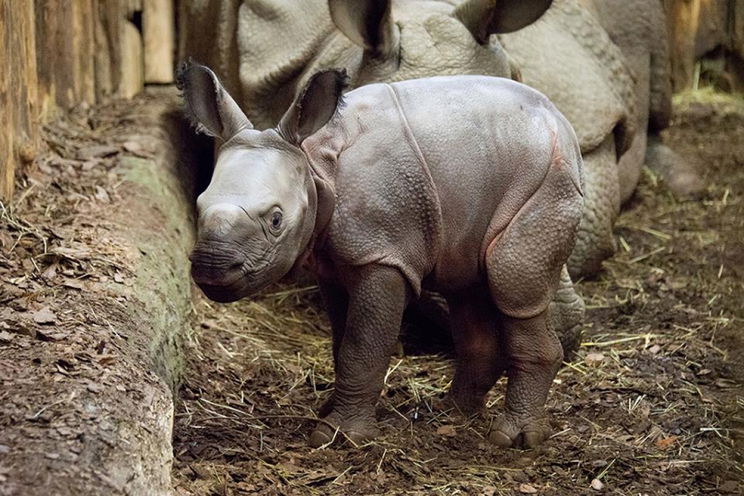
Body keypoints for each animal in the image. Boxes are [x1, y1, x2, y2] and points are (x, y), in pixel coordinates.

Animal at [179, 63, 580, 450]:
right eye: (198, 204)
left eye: (276, 219)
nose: (211, 266)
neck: (314, 164)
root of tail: (561, 120)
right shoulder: (336, 260)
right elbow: (341, 341)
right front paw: (329, 410)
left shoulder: (382, 253)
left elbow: (362, 345)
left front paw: (340, 437)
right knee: (468, 285)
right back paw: (449, 413)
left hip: (547, 173)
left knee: (512, 282)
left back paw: (512, 439)